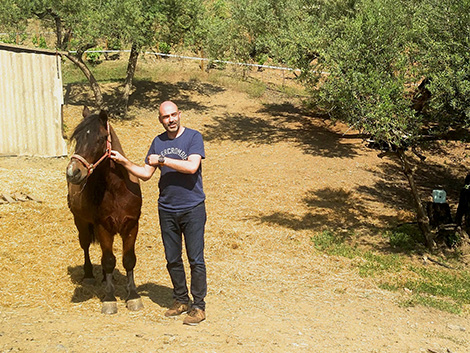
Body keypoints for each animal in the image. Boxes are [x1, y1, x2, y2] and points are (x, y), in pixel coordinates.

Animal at [66, 106, 143, 312]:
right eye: (77, 139)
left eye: (100, 139)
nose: (72, 172)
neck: (117, 189)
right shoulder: (102, 226)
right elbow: (108, 260)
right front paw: (109, 298)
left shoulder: (131, 225)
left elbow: (128, 259)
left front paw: (133, 296)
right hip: (81, 222)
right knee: (86, 246)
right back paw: (90, 276)